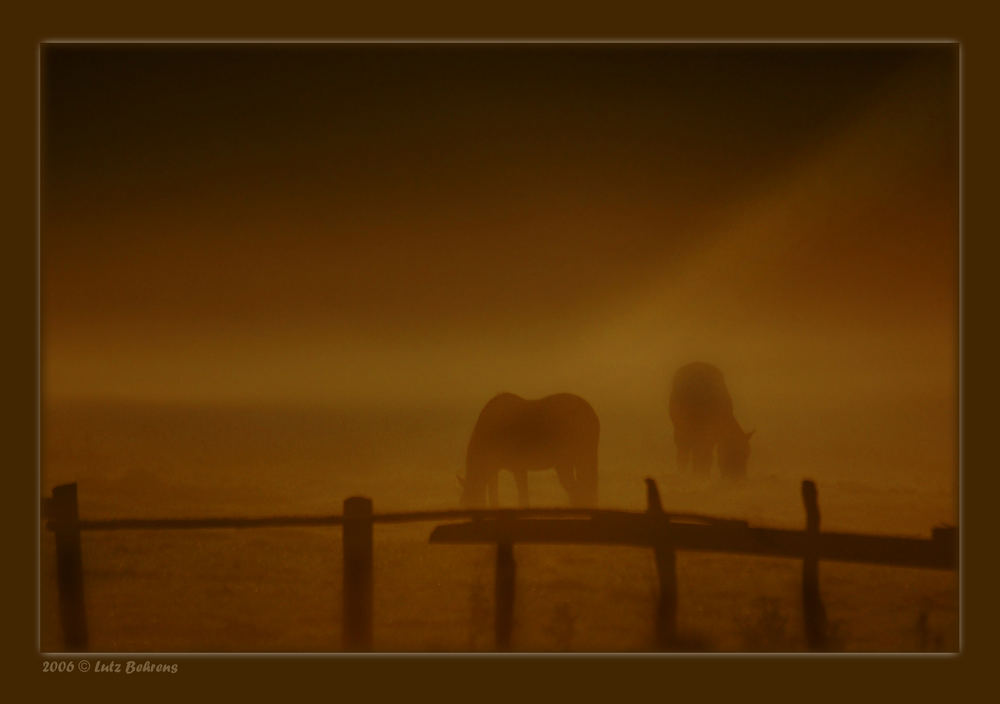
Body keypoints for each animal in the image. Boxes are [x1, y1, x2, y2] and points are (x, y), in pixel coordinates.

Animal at [458, 394, 596, 508]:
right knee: (582, 490)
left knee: (579, 491)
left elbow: (523, 497)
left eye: (472, 501)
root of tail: (592, 415)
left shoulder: (518, 468)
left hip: (571, 462)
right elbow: (494, 498)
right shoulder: (494, 470)